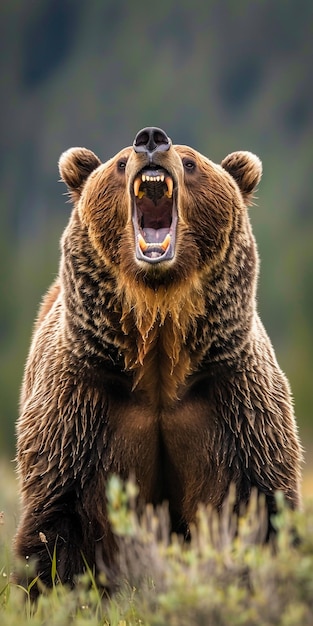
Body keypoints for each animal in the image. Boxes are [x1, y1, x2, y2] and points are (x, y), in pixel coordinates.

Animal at [14, 127, 300, 596]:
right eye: (117, 163)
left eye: (191, 162)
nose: (150, 139)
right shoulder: (82, 404)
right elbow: (57, 521)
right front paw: (53, 587)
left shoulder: (234, 405)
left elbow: (259, 509)